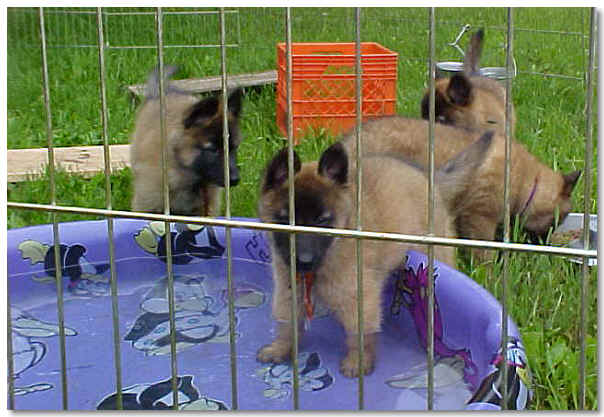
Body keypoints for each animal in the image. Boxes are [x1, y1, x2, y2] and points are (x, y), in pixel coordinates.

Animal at [258, 133, 494, 376]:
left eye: (322, 220)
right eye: (284, 219)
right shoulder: (288, 290)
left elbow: (359, 334)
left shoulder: (358, 297)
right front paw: (281, 348)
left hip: (437, 253)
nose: (303, 261)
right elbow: (287, 323)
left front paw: (358, 362)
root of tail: (430, 179)